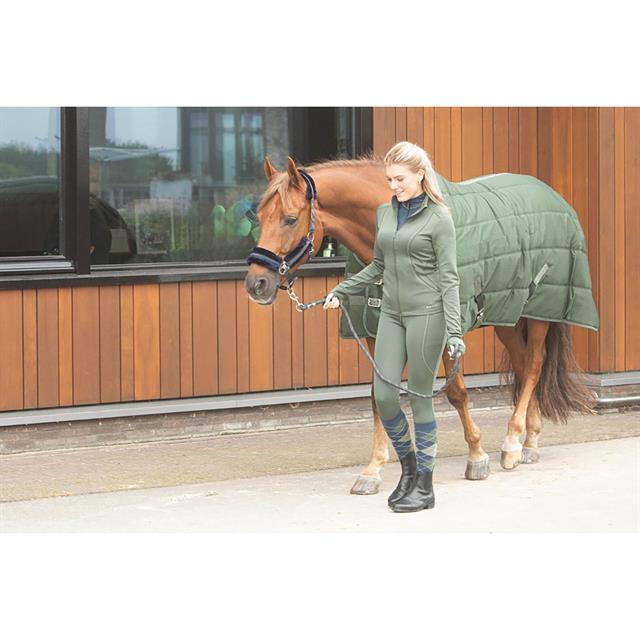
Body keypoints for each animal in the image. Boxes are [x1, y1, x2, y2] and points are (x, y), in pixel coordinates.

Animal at [244, 154, 597, 495]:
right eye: (259, 217)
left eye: (290, 218)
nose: (256, 284)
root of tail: (553, 197)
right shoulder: (374, 331)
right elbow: (378, 395)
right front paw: (372, 470)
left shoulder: (445, 331)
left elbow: (456, 392)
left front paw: (477, 456)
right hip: (507, 316)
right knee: (524, 368)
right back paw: (529, 440)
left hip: (539, 313)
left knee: (535, 365)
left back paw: (512, 443)